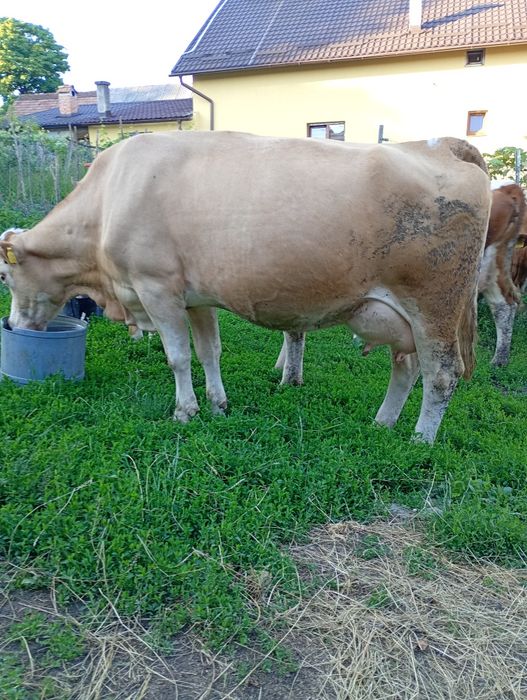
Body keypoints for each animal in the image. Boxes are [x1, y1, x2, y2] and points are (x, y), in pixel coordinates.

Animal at [0, 131, 490, 443]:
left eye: (4, 276)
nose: (14, 323)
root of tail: (442, 145)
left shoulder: (156, 288)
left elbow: (178, 357)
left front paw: (185, 411)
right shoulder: (195, 297)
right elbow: (208, 352)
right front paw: (217, 404)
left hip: (435, 307)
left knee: (442, 375)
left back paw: (420, 439)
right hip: (400, 317)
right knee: (406, 369)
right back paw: (382, 424)